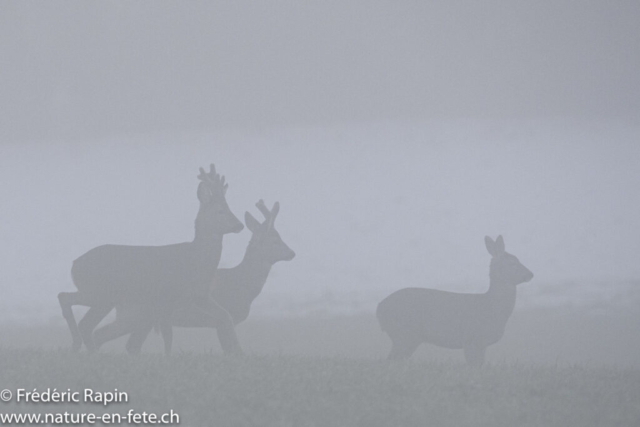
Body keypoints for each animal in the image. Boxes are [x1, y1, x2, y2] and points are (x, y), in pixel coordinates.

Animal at [57, 166, 245, 356]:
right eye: (220, 211)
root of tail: (74, 264)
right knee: (67, 300)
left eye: (230, 209)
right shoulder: (165, 299)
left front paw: (238, 350)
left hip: (104, 298)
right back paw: (78, 345)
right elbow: (168, 336)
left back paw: (88, 350)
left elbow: (226, 316)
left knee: (85, 322)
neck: (196, 260)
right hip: (99, 293)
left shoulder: (199, 297)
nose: (240, 225)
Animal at [91, 200, 296, 354]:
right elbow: (230, 350)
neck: (242, 283)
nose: (292, 253)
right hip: (134, 313)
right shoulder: (223, 319)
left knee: (125, 344)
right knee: (101, 335)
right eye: (275, 240)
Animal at [376, 236, 536, 366]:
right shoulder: (472, 340)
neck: (491, 307)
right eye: (512, 263)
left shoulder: (481, 344)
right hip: (404, 334)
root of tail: (379, 308)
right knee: (390, 360)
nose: (530, 274)